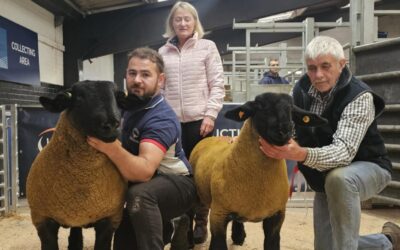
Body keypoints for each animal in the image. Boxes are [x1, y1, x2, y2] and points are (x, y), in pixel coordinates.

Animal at [189, 92, 326, 250]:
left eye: (291, 109)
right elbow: (218, 244)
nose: (285, 130)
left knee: (237, 219)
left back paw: (238, 237)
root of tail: (209, 138)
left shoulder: (277, 216)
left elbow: (272, 243)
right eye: (260, 107)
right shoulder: (218, 214)